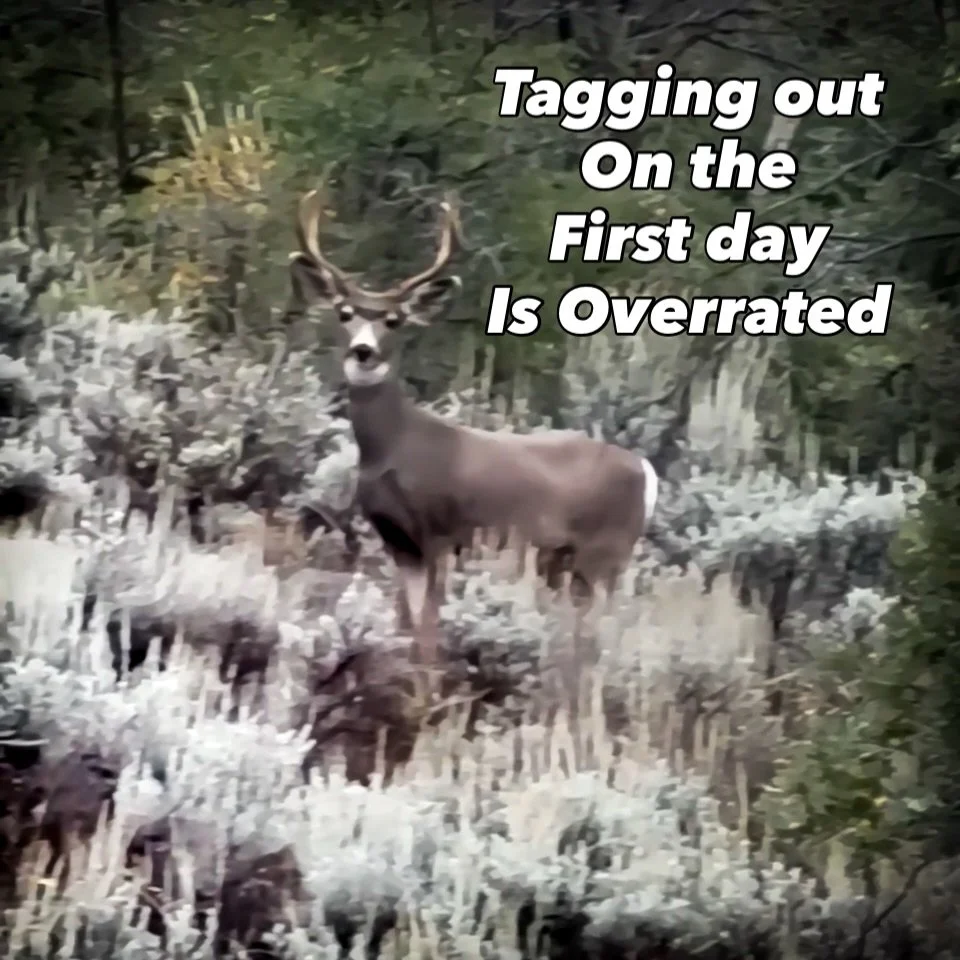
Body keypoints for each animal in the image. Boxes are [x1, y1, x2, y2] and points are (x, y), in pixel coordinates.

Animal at [287, 188, 659, 663]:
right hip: (570, 559)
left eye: (394, 320)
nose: (363, 351)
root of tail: (645, 470)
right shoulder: (398, 539)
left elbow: (429, 627)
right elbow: (411, 624)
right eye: (344, 312)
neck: (393, 449)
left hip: (606, 550)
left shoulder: (442, 530)